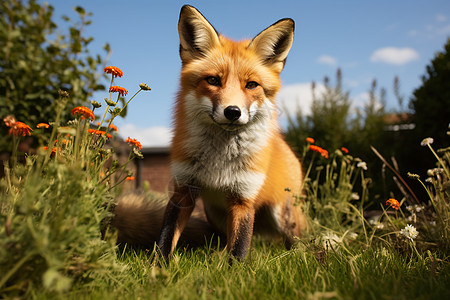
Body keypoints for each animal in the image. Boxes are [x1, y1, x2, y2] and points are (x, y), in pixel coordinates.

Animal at [112, 4, 306, 262]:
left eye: (251, 85)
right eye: (213, 80)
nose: (233, 112)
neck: (219, 160)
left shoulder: (244, 199)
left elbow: (239, 249)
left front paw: (236, 271)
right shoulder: (183, 191)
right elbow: (165, 239)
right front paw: (157, 267)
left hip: (283, 215)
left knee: (295, 240)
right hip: (215, 212)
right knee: (228, 239)